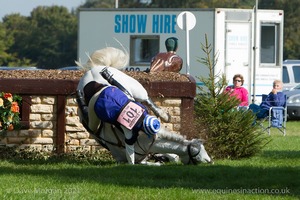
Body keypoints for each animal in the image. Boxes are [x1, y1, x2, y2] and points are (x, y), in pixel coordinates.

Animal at [75, 46, 211, 164]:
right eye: (198, 154)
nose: (210, 160)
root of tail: (92, 71)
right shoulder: (124, 157)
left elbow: (169, 157)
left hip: (136, 90)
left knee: (145, 98)